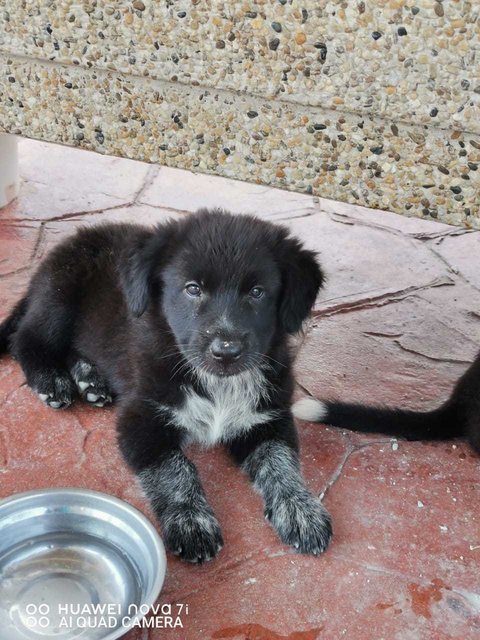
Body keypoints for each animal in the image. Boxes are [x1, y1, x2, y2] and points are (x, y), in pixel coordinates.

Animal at [0, 209, 330, 560]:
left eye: (257, 292)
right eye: (192, 289)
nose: (226, 352)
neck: (215, 384)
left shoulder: (268, 417)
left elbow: (281, 461)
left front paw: (301, 508)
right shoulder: (142, 418)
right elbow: (174, 468)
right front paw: (190, 519)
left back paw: (91, 379)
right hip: (59, 297)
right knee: (26, 339)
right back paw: (51, 379)